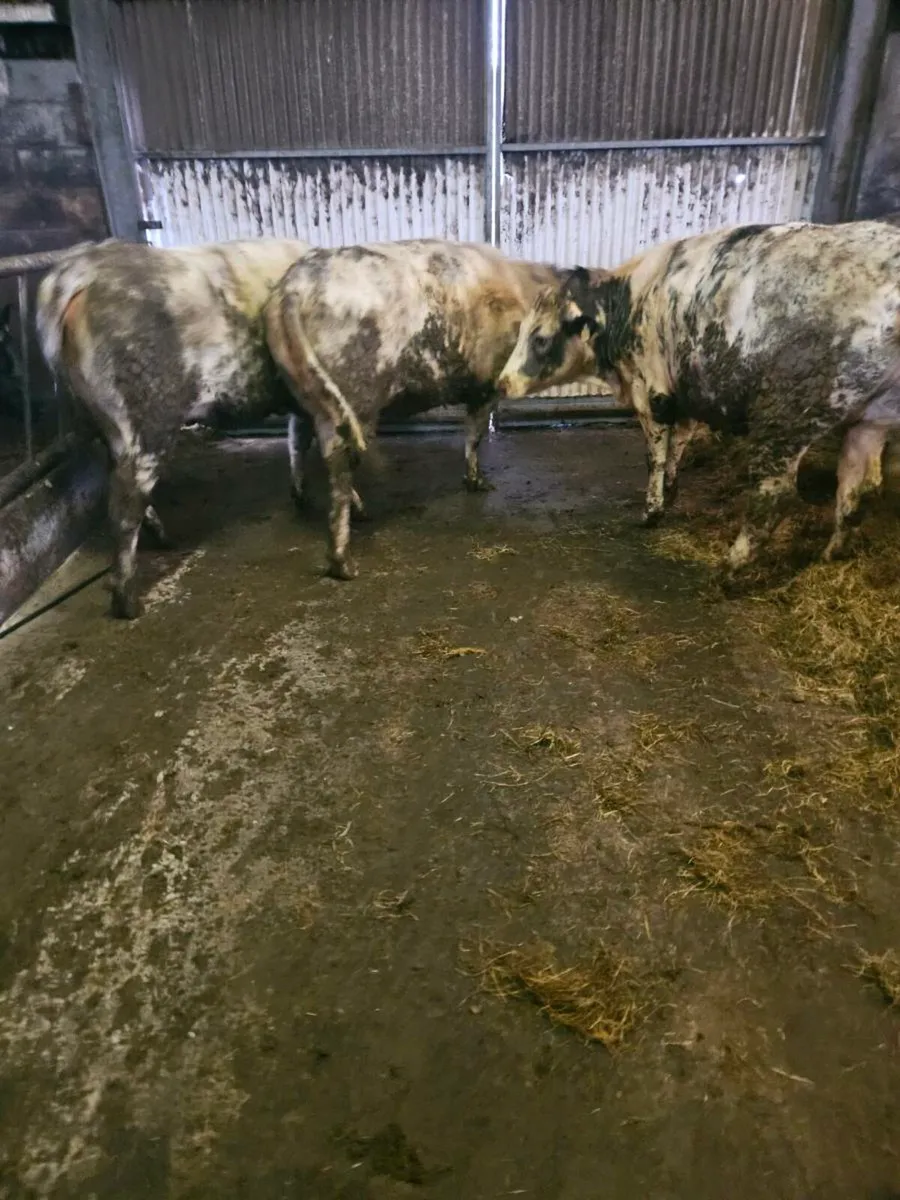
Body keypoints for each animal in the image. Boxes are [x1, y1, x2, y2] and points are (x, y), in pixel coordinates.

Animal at [37, 236, 310, 618]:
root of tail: (83, 269)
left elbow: (297, 439)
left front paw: (301, 496)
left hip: (105, 426)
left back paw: (162, 539)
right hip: (148, 422)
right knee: (124, 504)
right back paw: (127, 602)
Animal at [264, 239, 568, 580]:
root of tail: (294, 288)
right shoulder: (488, 383)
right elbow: (475, 434)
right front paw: (479, 483)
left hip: (303, 391)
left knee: (298, 439)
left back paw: (305, 498)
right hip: (352, 397)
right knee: (338, 460)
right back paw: (346, 560)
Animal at [496, 220, 900, 578]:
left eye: (540, 338)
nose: (501, 384)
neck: (630, 303)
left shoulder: (653, 393)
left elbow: (655, 457)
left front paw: (652, 511)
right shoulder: (683, 397)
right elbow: (678, 448)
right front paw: (671, 493)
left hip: (788, 415)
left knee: (775, 496)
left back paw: (729, 571)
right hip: (869, 421)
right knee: (854, 490)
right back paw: (831, 555)